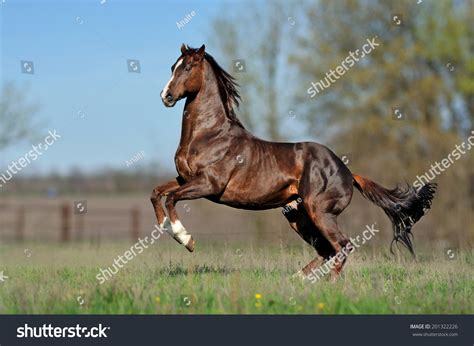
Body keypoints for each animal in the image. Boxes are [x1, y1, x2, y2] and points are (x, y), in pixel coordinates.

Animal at [152, 44, 436, 278]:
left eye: (188, 67)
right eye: (172, 67)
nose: (165, 96)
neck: (210, 135)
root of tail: (347, 172)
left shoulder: (209, 185)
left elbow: (171, 198)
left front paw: (186, 239)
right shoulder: (185, 179)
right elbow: (157, 193)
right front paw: (166, 228)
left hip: (319, 211)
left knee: (343, 246)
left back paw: (330, 284)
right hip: (298, 215)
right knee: (327, 250)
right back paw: (297, 279)